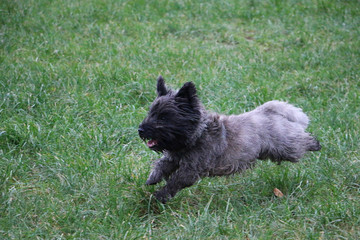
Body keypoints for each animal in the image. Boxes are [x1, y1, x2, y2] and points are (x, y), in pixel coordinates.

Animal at [138, 75, 320, 202]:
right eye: (150, 113)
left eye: (163, 117)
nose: (140, 129)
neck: (198, 133)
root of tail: (269, 111)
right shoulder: (174, 158)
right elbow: (161, 165)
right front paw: (152, 178)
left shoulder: (190, 170)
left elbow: (174, 181)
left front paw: (160, 195)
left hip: (287, 148)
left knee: (301, 142)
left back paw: (315, 144)